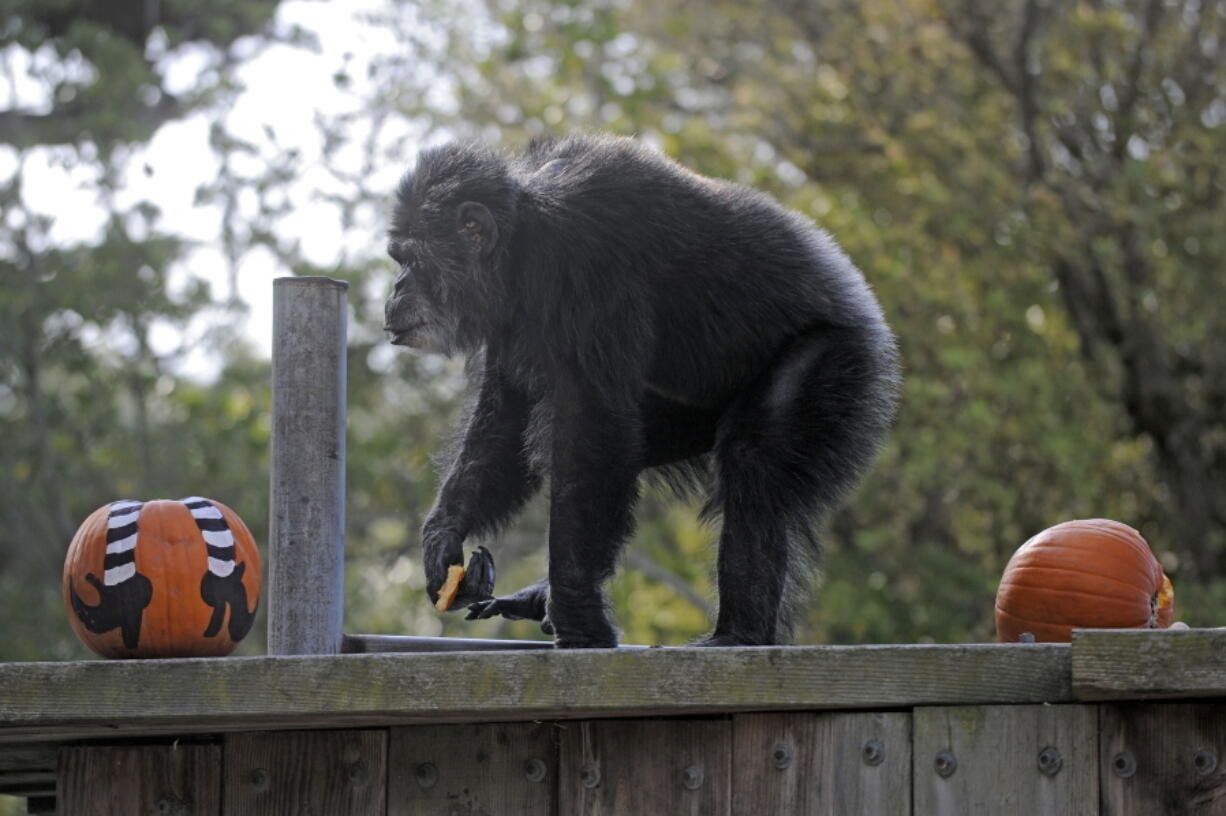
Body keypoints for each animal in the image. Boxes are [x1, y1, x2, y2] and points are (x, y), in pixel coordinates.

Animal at [382, 133, 902, 646]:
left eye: (411, 260)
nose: (395, 290)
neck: (522, 244)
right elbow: (507, 417)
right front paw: (442, 539)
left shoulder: (585, 258)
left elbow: (589, 419)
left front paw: (579, 617)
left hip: (840, 359)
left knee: (753, 457)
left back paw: (739, 634)